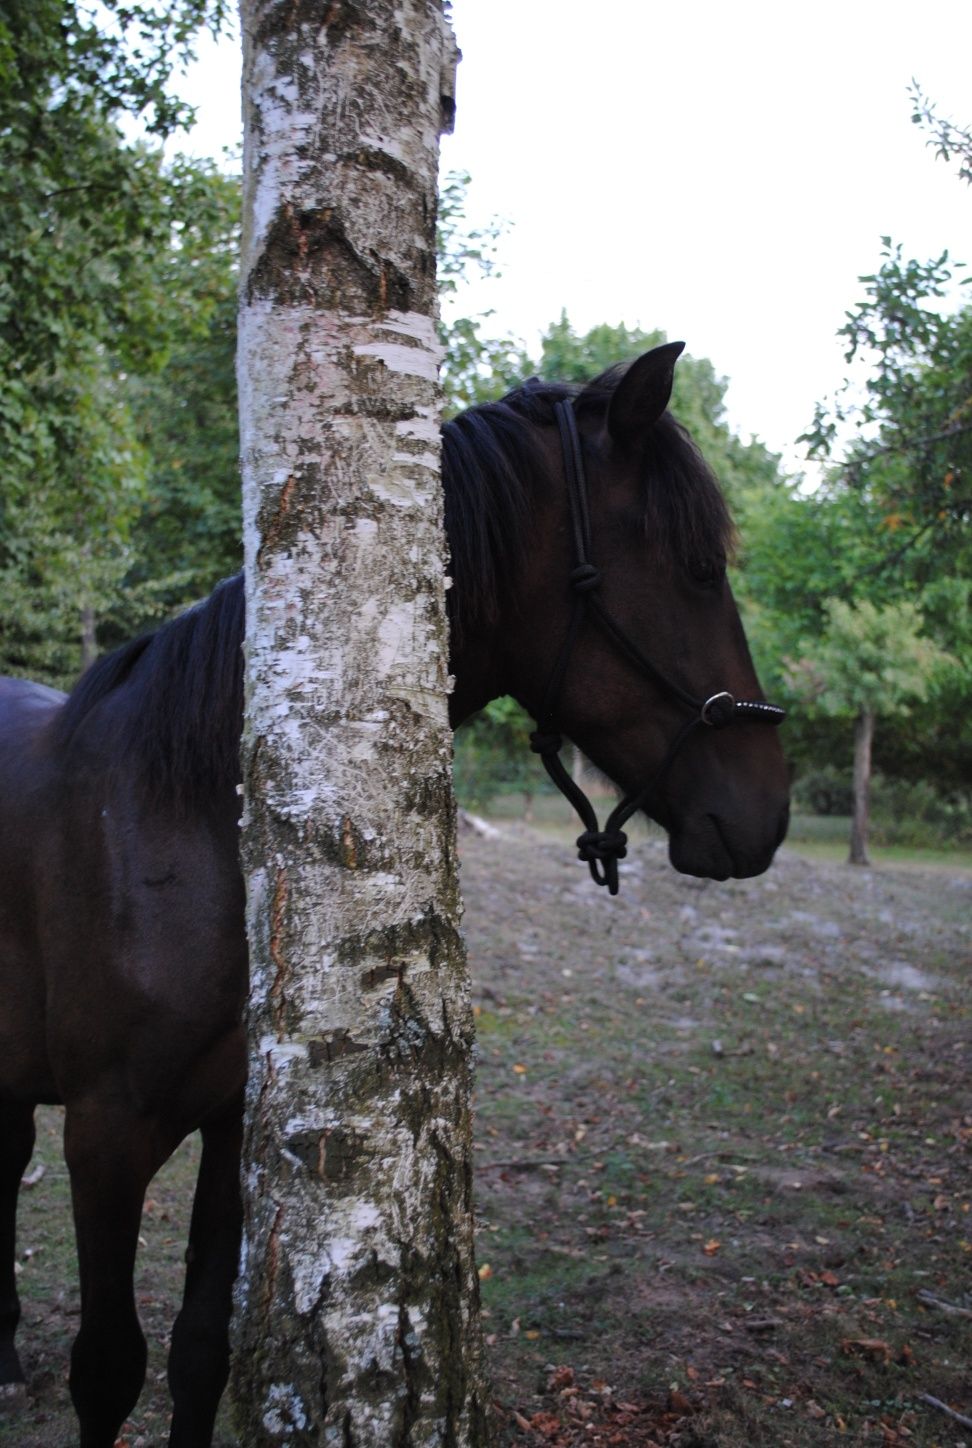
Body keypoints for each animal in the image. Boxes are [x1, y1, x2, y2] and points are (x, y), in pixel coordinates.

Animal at [0, 344, 788, 1442]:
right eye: (700, 569)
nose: (770, 810)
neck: (184, 811)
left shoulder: (233, 1119)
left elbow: (200, 1352)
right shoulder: (105, 1134)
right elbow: (109, 1367)